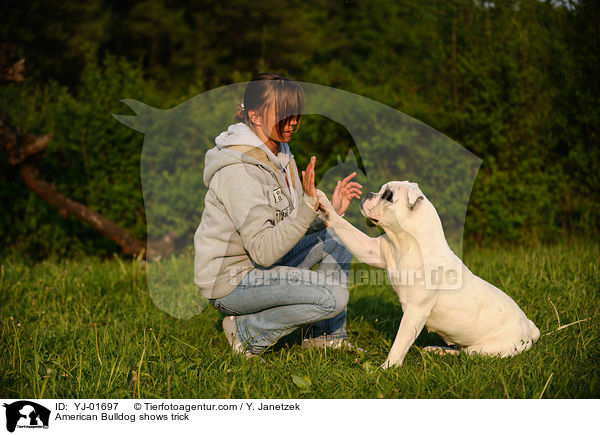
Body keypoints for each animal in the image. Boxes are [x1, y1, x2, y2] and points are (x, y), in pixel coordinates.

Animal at [316, 182, 540, 370]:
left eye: (388, 195)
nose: (369, 194)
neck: (407, 244)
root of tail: (529, 326)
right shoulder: (370, 250)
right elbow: (344, 226)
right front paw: (325, 202)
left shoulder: (415, 312)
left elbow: (400, 342)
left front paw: (387, 368)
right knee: (461, 351)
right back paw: (436, 350)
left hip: (485, 349)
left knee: (467, 354)